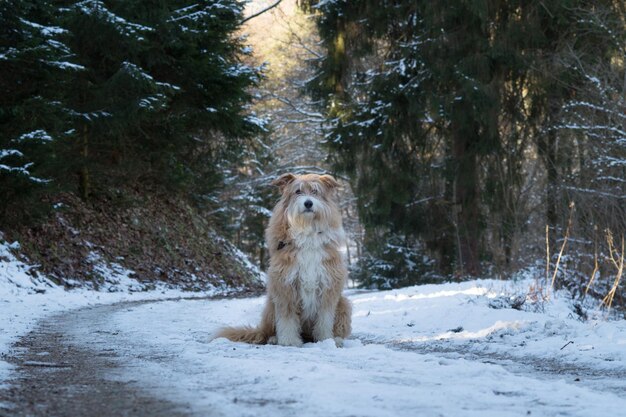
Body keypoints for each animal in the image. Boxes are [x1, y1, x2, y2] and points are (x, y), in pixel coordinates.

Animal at [214, 173, 352, 348]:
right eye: (298, 191)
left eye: (315, 191)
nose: (308, 203)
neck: (307, 232)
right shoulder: (285, 285)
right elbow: (287, 319)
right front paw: (290, 342)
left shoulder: (328, 287)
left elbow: (325, 319)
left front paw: (325, 340)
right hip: (270, 305)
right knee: (268, 332)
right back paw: (274, 338)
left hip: (343, 303)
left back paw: (337, 339)